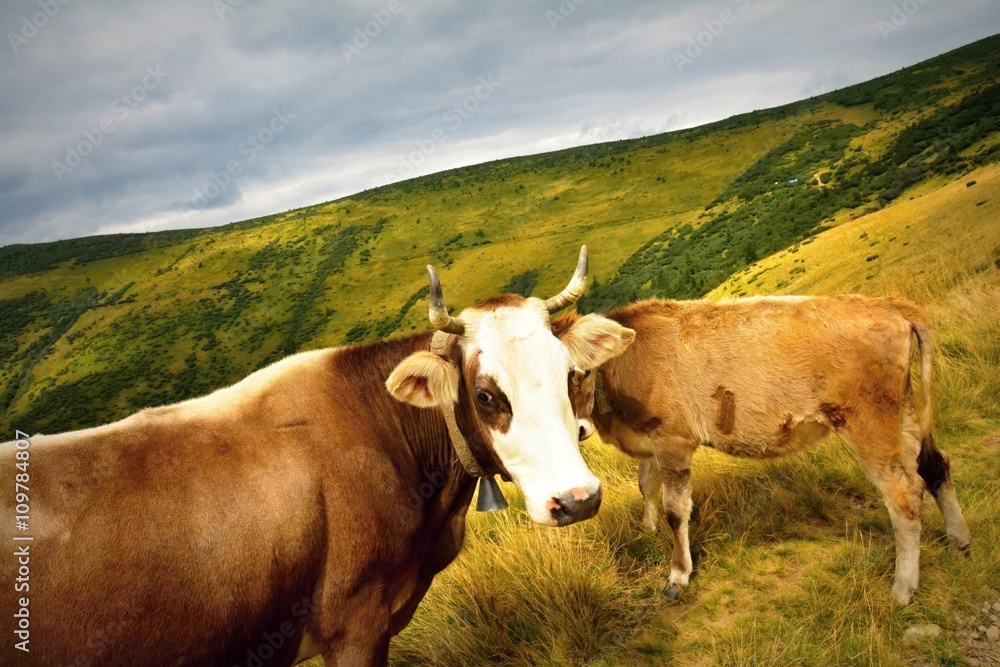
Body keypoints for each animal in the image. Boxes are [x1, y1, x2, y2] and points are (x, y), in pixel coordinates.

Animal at [564, 296, 968, 604]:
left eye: (578, 371)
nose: (576, 430)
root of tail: (889, 304)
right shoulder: (648, 441)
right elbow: (645, 486)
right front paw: (645, 530)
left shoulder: (672, 440)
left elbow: (676, 511)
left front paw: (678, 575)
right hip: (905, 411)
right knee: (936, 466)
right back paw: (959, 541)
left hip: (868, 422)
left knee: (904, 494)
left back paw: (902, 589)